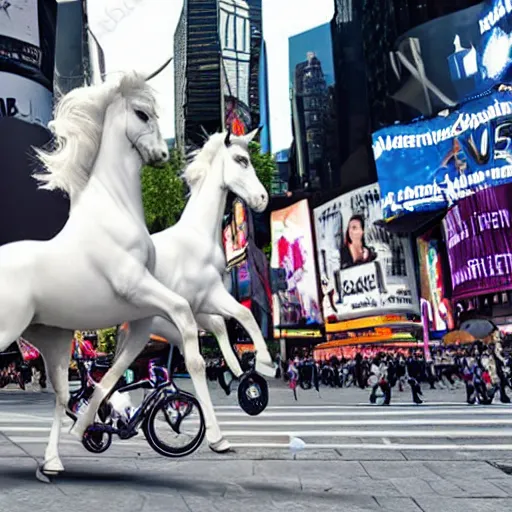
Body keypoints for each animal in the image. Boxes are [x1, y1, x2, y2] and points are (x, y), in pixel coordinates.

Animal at [0, 73, 200, 480]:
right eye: (141, 113)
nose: (162, 155)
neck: (116, 209)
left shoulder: (140, 310)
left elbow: (117, 368)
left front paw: (89, 428)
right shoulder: (136, 286)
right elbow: (183, 312)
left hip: (52, 339)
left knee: (61, 394)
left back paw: (53, 463)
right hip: (7, 327)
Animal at [115, 128, 276, 452]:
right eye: (241, 160)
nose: (262, 199)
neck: (200, 238)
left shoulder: (202, 306)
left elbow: (224, 328)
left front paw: (242, 376)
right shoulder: (208, 299)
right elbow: (242, 317)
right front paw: (265, 364)